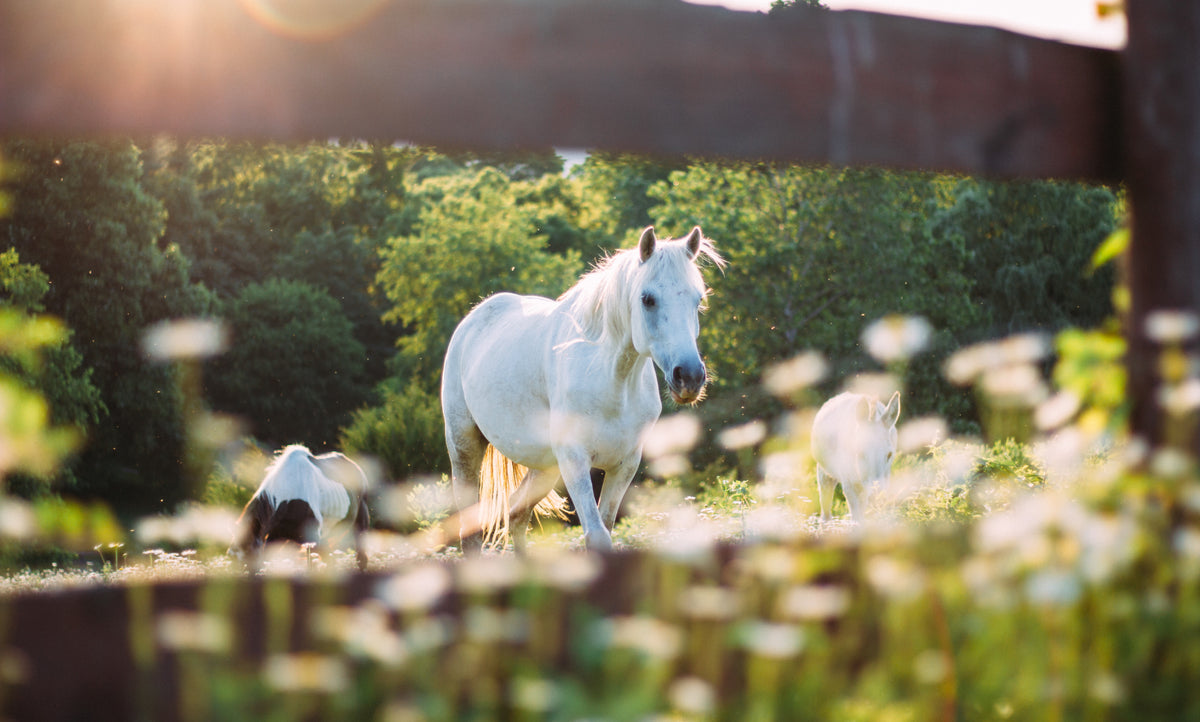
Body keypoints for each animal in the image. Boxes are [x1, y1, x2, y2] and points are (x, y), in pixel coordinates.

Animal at [441, 226, 723, 553]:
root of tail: (473, 319)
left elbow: (606, 526)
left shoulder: (624, 465)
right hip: (464, 446)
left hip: (546, 467)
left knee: (517, 514)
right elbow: (597, 535)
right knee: (470, 529)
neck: (612, 384)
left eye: (697, 300)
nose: (689, 376)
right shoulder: (575, 460)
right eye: (647, 299)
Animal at [811, 391, 901, 522]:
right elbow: (857, 521)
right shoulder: (849, 487)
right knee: (825, 513)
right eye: (860, 452)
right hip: (825, 474)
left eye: (889, 455)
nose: (876, 497)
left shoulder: (884, 481)